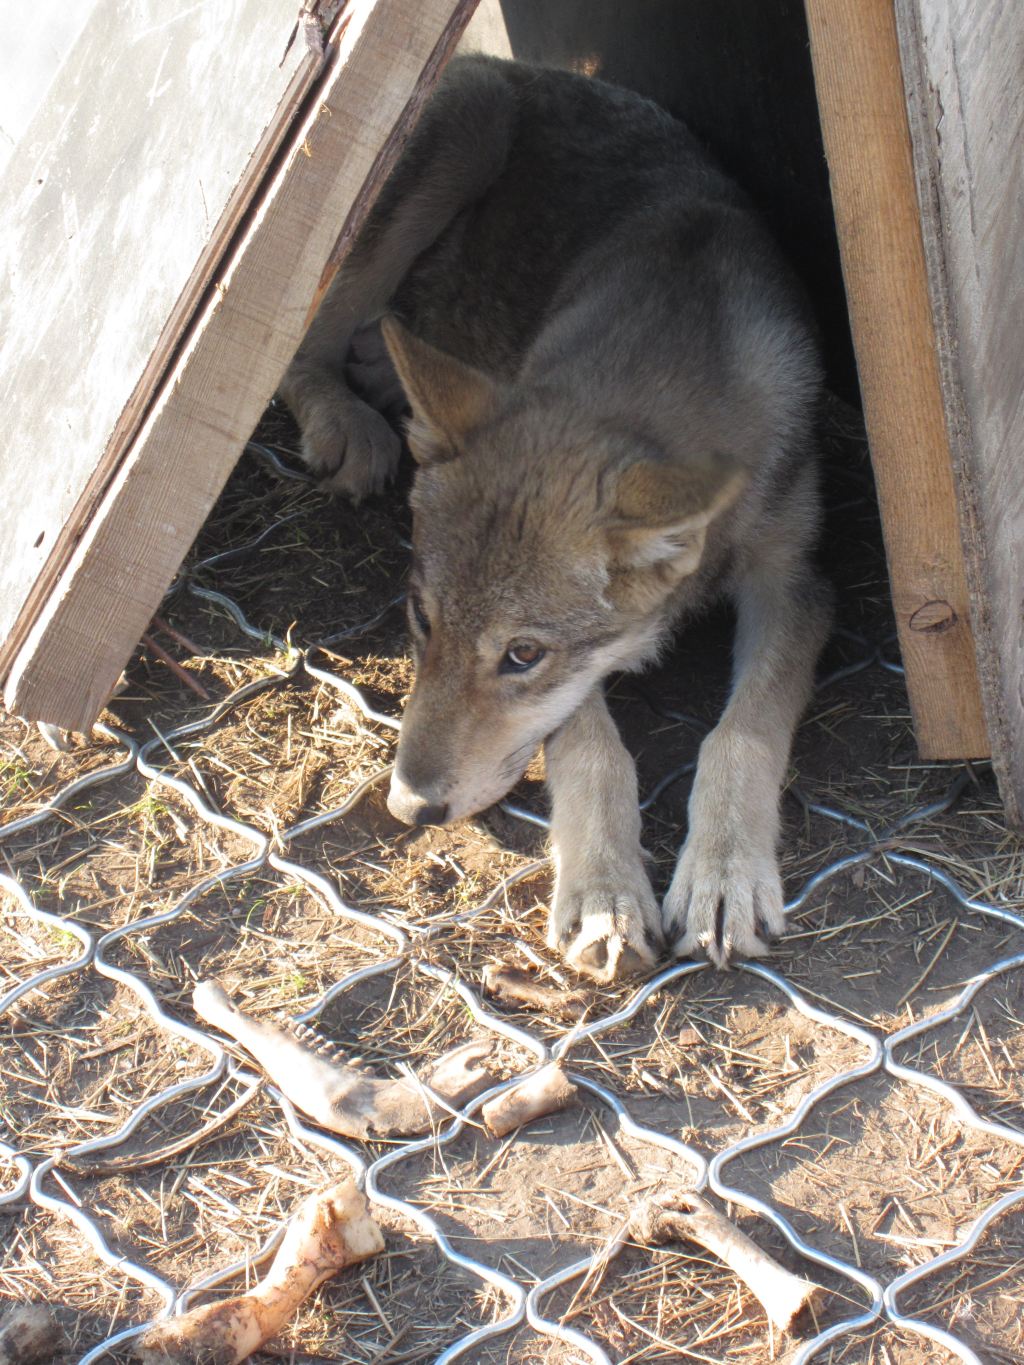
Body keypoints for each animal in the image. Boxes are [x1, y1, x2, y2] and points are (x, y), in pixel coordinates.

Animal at [278, 53, 835, 982]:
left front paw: (723, 873)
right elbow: (592, 749)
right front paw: (606, 890)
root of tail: (504, 61)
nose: (408, 805)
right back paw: (344, 415)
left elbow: (741, 734)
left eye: (522, 655)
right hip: (463, 135)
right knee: (305, 332)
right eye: (419, 618)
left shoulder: (796, 581)